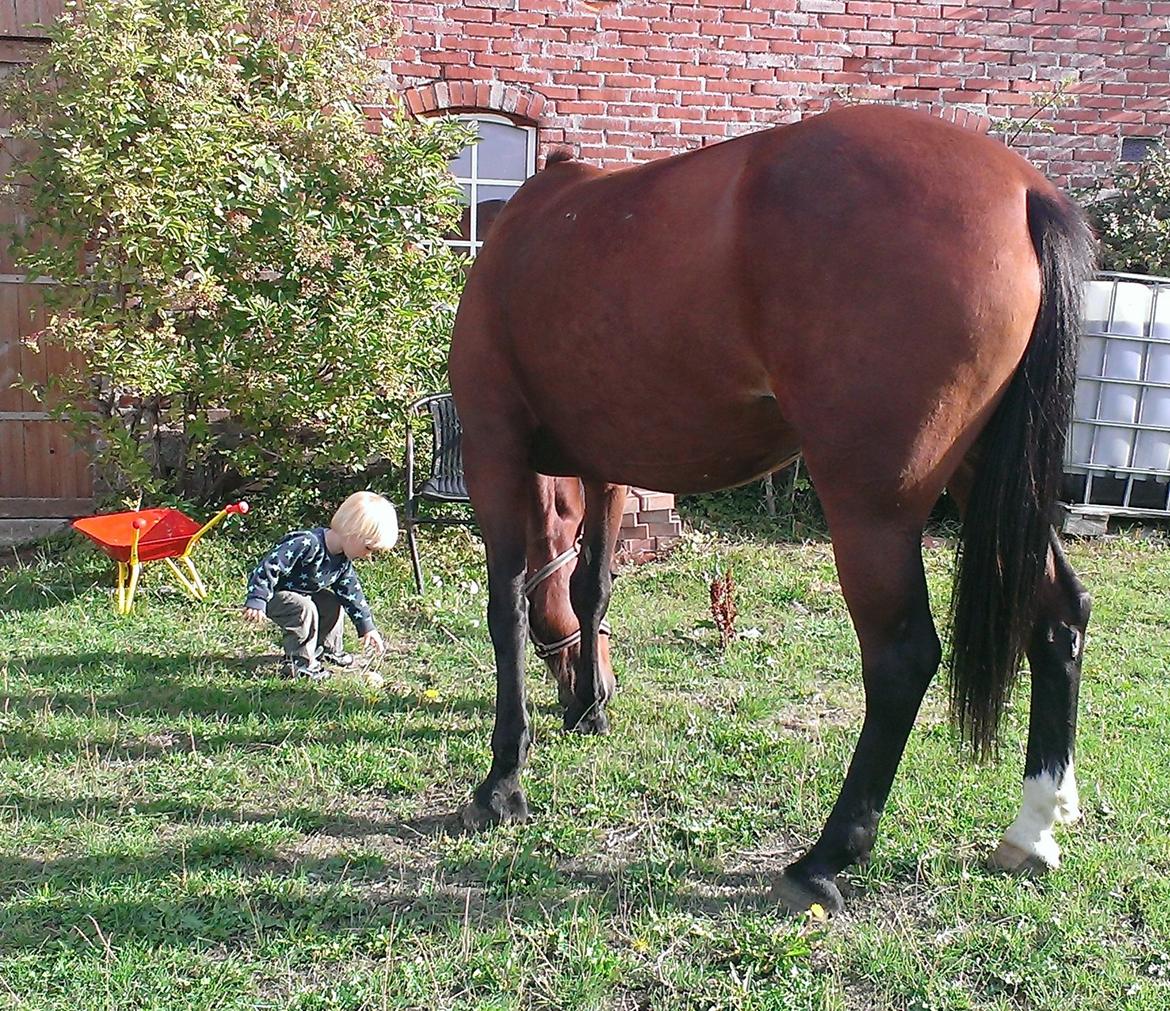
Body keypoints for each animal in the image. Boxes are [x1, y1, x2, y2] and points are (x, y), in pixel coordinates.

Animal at [449, 104, 1095, 917]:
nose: (585, 696)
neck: (520, 233)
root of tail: (1023, 190)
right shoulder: (606, 467)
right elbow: (593, 585)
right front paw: (590, 706)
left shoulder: (494, 451)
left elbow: (506, 605)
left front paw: (502, 779)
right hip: (991, 481)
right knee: (1058, 616)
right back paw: (1035, 825)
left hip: (870, 508)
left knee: (903, 657)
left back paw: (824, 858)